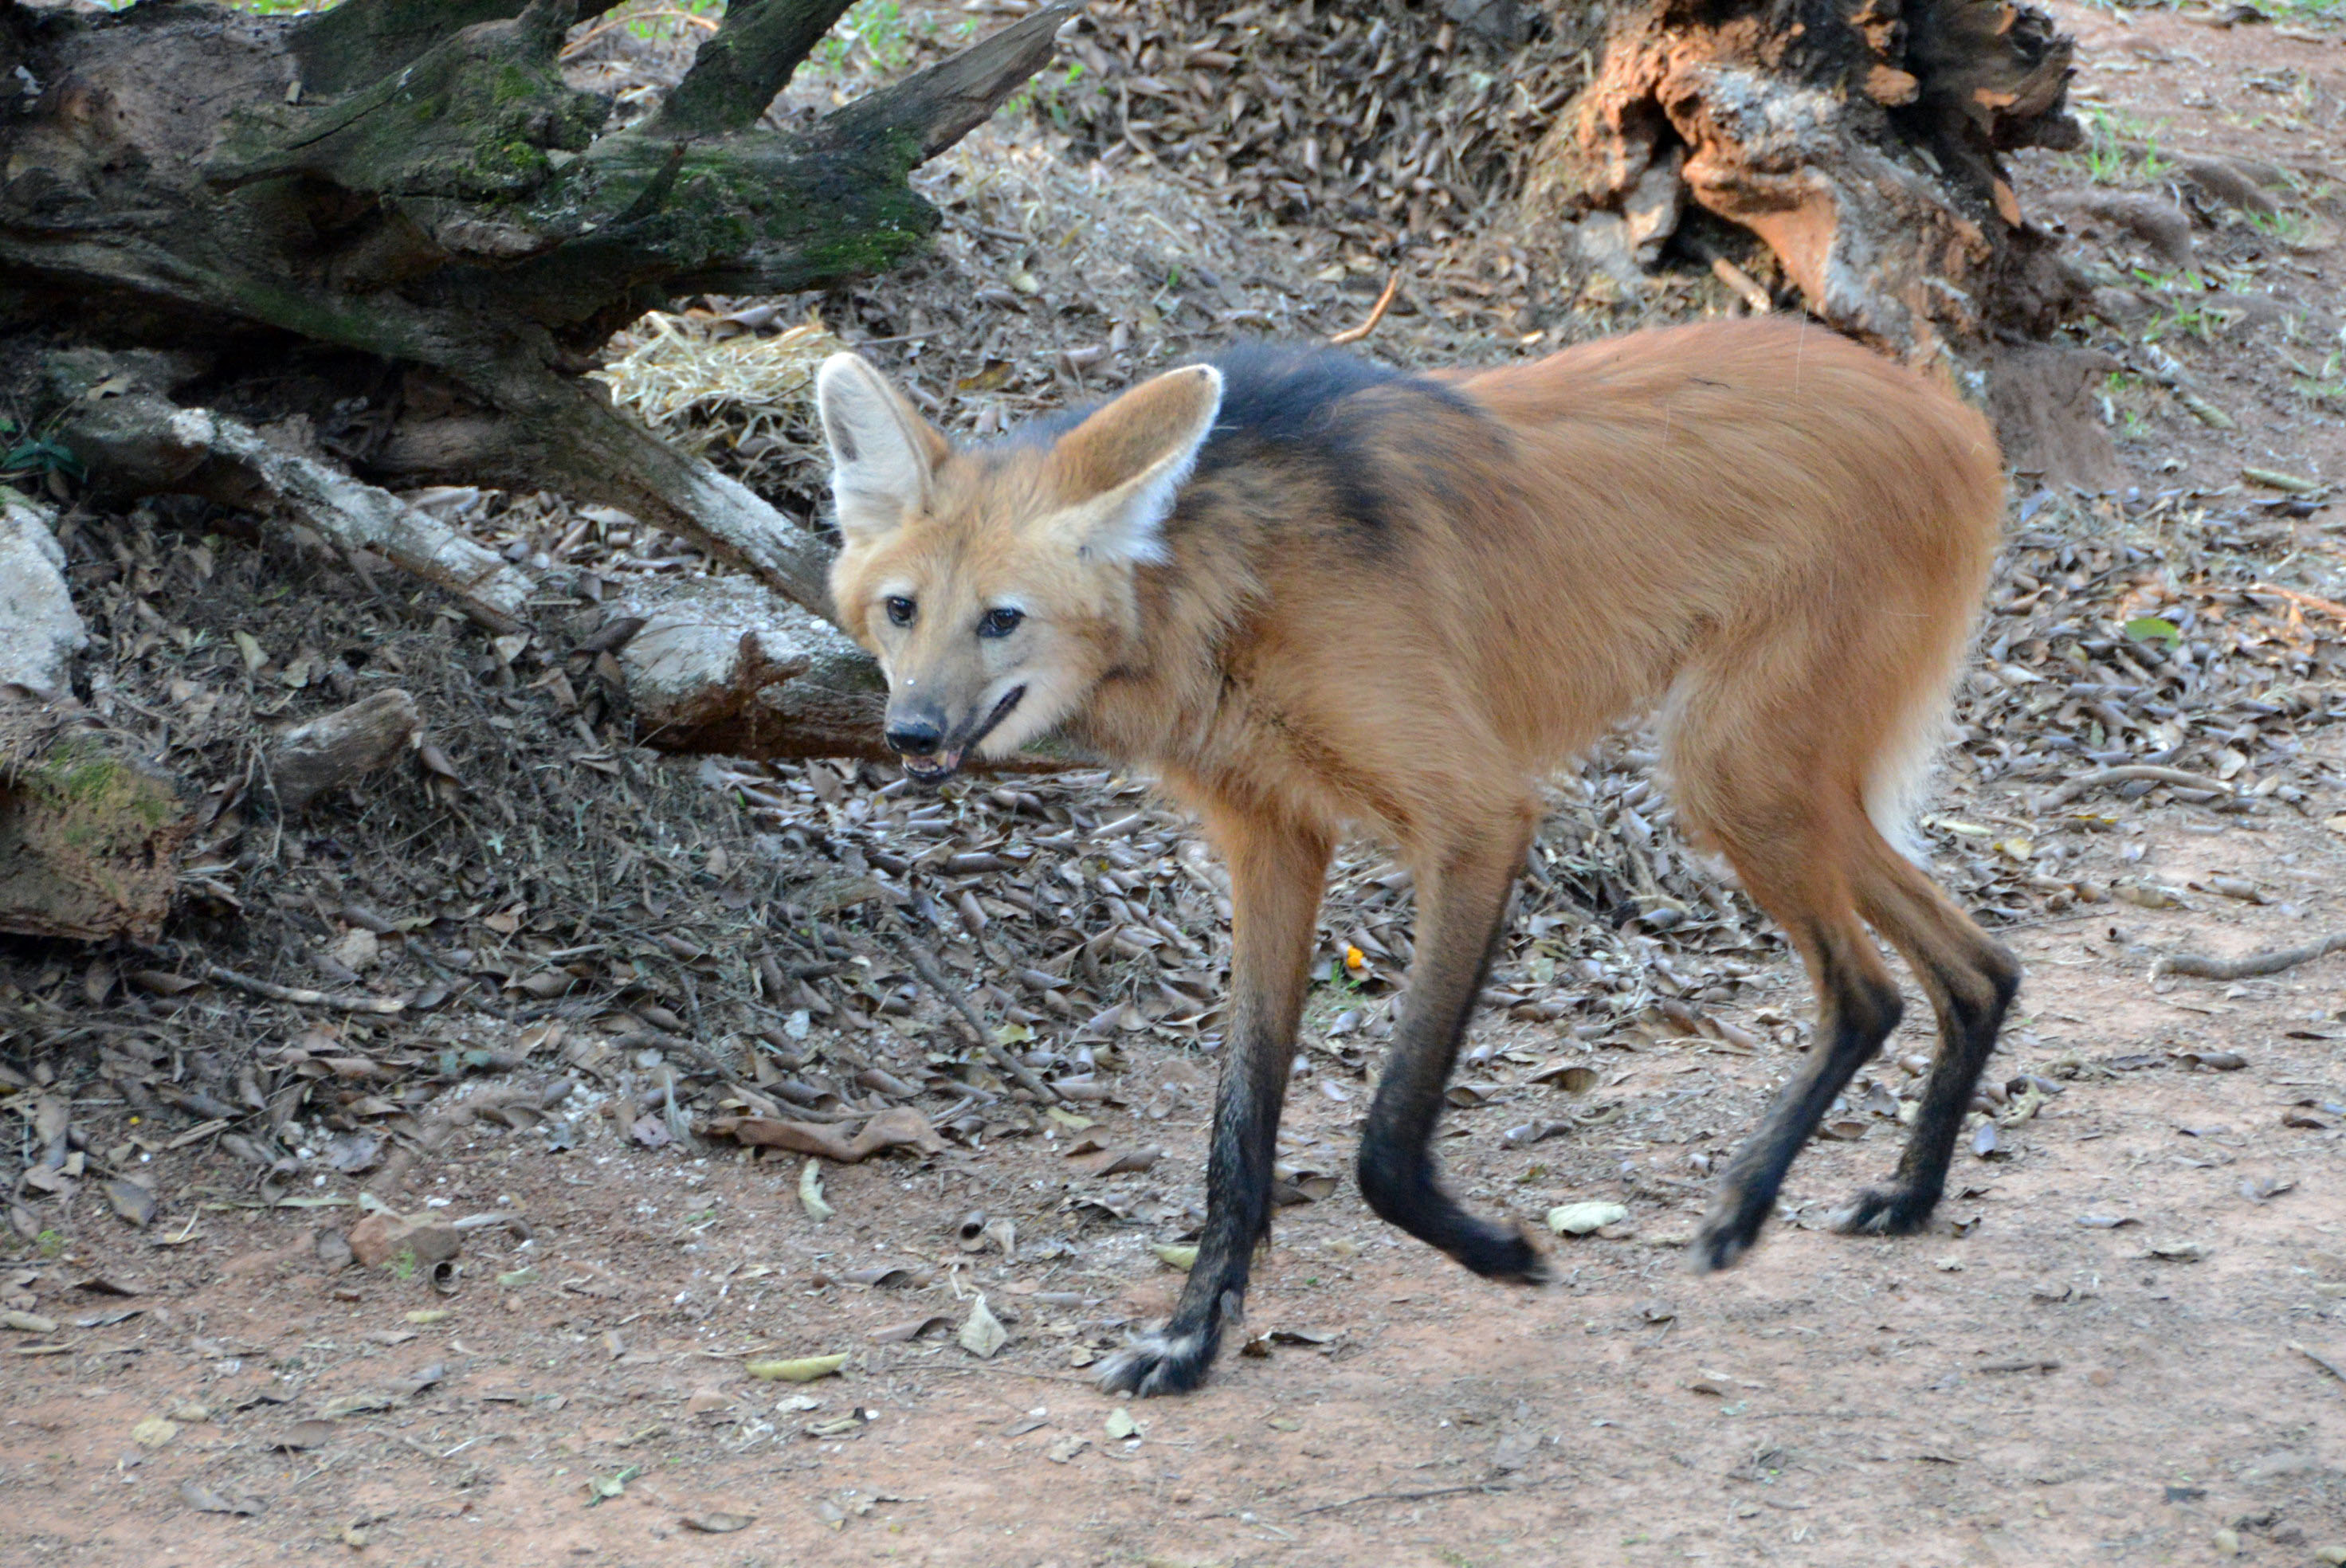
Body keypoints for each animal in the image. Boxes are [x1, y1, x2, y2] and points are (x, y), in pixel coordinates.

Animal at [815, 320, 2020, 1397]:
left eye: (1002, 620)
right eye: (903, 610)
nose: (912, 733)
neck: (1219, 588)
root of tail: (1951, 414)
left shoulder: (1476, 817)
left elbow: (1385, 1140)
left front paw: (1507, 1252)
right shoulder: (1273, 841)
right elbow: (1237, 1129)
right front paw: (1192, 1339)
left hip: (1732, 772)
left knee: (1866, 989)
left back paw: (1744, 1209)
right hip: (1771, 783)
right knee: (1979, 967)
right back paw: (1910, 1195)